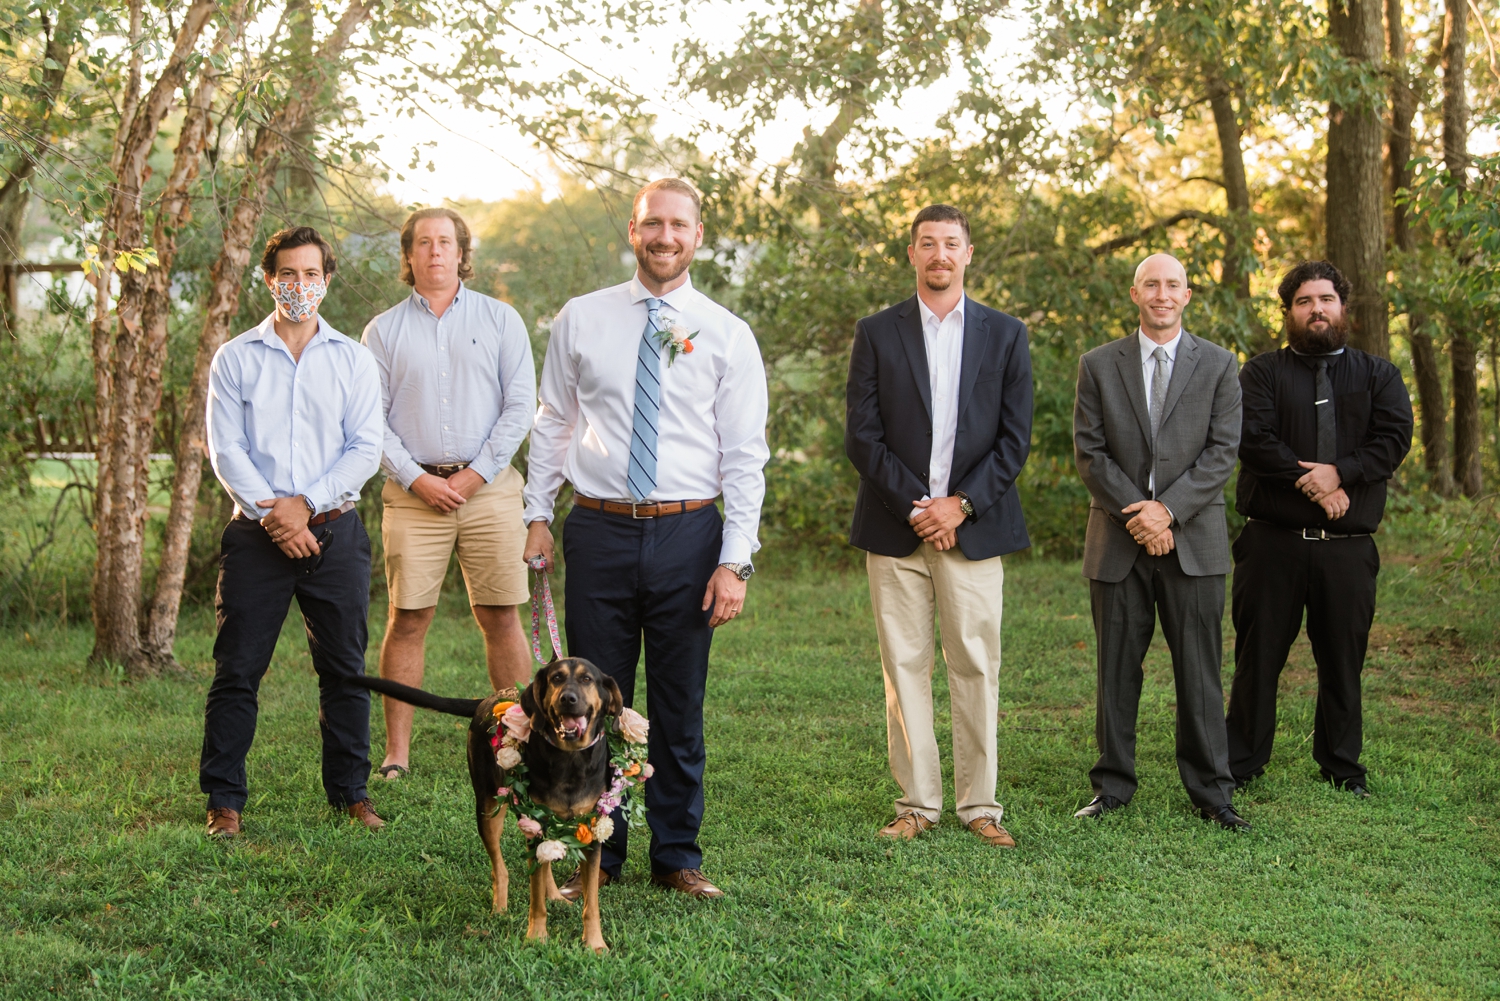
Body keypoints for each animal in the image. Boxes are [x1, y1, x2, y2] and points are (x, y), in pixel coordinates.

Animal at [358, 660, 651, 954]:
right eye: (556, 678)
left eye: (587, 679)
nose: (567, 699)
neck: (570, 758)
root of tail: (487, 699)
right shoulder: (535, 822)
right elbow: (536, 900)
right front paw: (536, 938)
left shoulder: (591, 830)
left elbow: (591, 903)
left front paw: (595, 944)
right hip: (488, 807)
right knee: (500, 868)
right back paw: (499, 909)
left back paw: (555, 896)